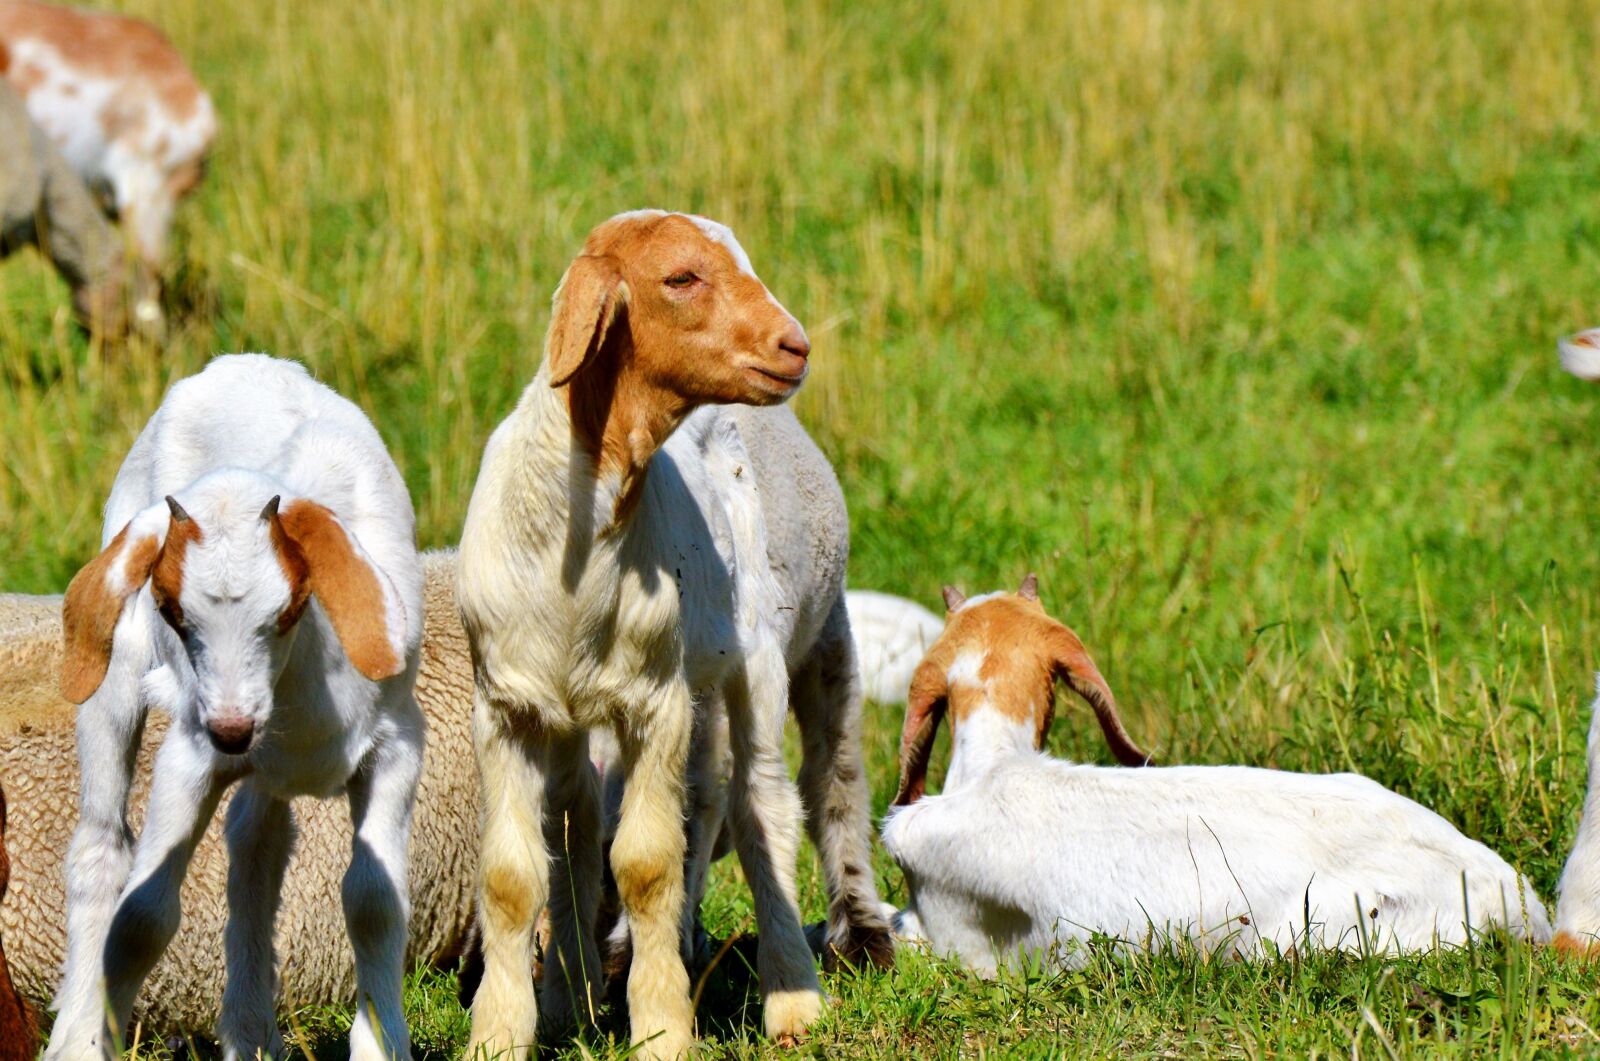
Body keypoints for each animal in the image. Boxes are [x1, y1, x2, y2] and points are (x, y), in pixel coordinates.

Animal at [47, 354, 423, 1061]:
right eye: (172, 610)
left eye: (289, 609)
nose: (232, 728)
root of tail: (236, 363)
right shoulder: (189, 757)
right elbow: (140, 918)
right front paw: (99, 1037)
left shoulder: (397, 748)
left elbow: (375, 902)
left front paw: (380, 1043)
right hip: (114, 673)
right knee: (101, 851)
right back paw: (73, 1036)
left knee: (255, 846)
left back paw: (250, 1035)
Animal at [457, 210, 891, 1059]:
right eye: (681, 278)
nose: (795, 345)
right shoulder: (507, 707)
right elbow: (516, 874)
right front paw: (502, 1032)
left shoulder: (653, 699)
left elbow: (648, 863)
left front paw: (661, 1026)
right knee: (599, 817)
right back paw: (573, 997)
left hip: (754, 660)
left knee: (765, 804)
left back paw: (793, 994)